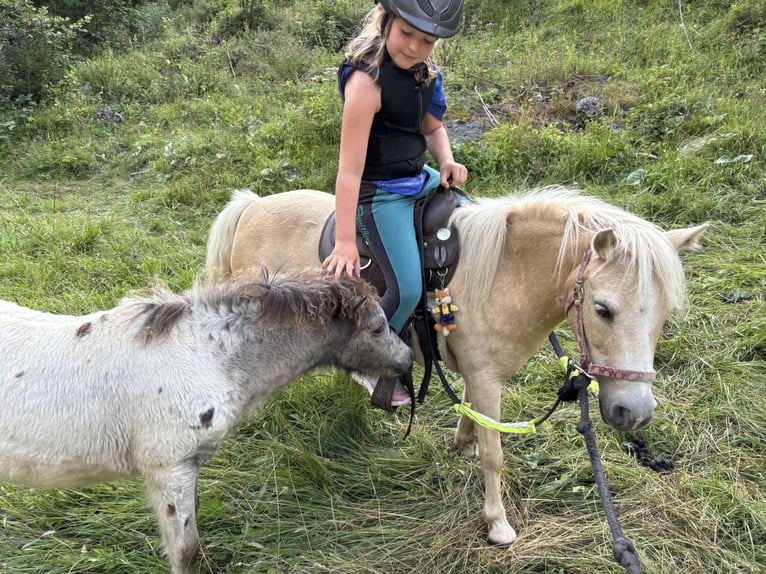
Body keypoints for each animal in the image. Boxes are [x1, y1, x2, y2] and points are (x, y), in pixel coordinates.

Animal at [0, 272, 414, 574]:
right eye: (378, 327)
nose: (408, 359)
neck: (202, 356)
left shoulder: (188, 470)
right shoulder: (170, 470)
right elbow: (186, 551)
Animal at [202, 188, 708, 548]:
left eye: (664, 314)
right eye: (603, 309)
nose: (634, 414)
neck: (505, 274)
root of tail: (252, 207)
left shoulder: (477, 374)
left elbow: (470, 416)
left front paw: (462, 444)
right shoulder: (487, 379)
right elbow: (494, 453)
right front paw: (497, 524)